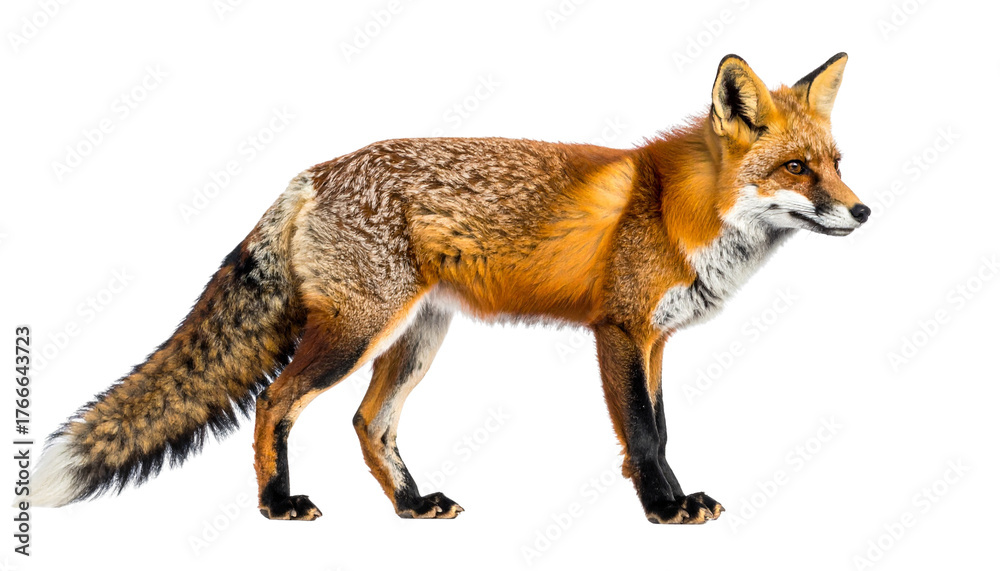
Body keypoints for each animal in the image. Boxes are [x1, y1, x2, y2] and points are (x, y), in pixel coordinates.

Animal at [29, 53, 867, 524]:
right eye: (796, 169)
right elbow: (646, 432)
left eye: (835, 162)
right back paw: (276, 504)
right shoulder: (620, 331)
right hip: (355, 333)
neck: (676, 207)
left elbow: (654, 428)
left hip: (416, 340)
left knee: (369, 423)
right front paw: (663, 506)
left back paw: (411, 504)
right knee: (275, 402)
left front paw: (659, 494)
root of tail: (311, 175)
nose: (863, 211)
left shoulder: (653, 340)